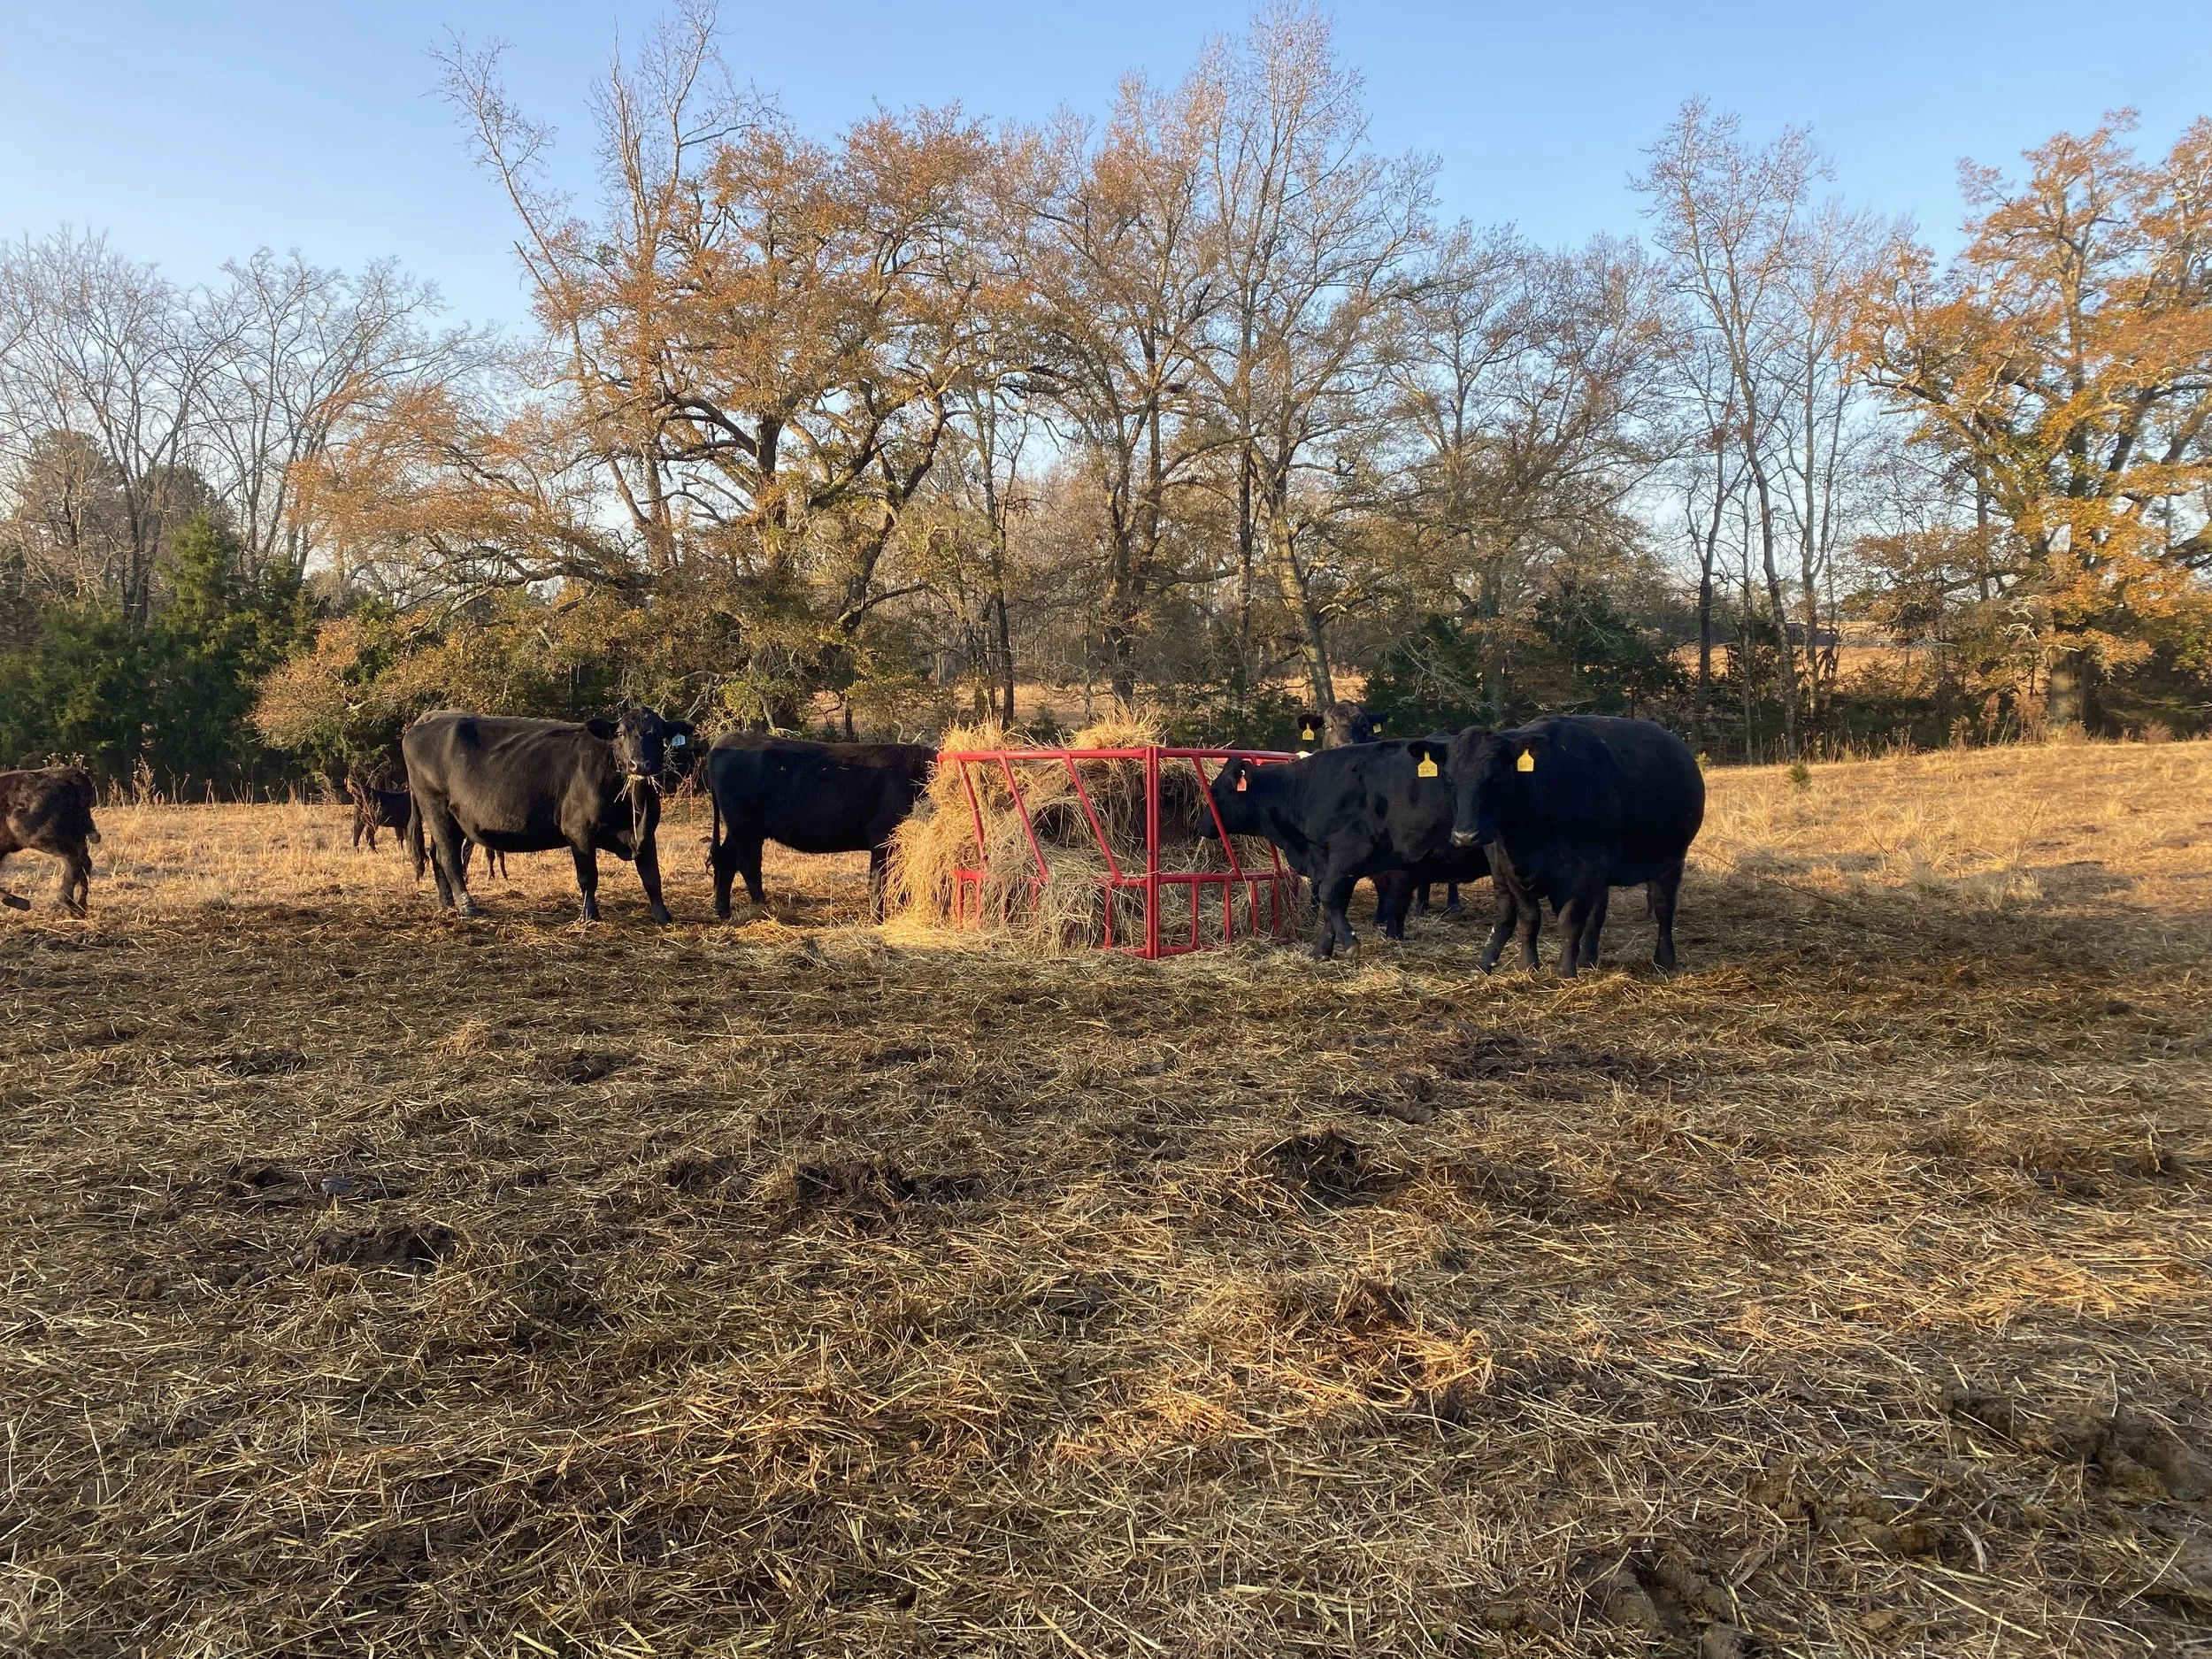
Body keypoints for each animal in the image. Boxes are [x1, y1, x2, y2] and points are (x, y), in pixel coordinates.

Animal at [0, 765, 100, 916]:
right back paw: (80, 909)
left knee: (74, 860)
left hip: (45, 838)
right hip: (76, 836)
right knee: (84, 863)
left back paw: (67, 903)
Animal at [401, 710, 689, 924]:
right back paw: (468, 907)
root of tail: (428, 720)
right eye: (620, 734)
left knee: (437, 855)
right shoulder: (579, 832)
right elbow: (588, 876)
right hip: (436, 806)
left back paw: (447, 904)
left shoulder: (646, 833)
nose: (640, 764)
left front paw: (664, 917)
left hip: (448, 817)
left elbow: (652, 877)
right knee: (449, 857)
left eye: (659, 734)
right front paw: (589, 916)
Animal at [703, 733, 935, 922]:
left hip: (740, 828)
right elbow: (880, 880)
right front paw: (878, 920)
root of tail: (723, 741)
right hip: (745, 826)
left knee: (726, 860)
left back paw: (724, 913)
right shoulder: (882, 834)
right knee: (748, 865)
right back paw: (763, 909)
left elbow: (901, 876)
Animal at [1204, 742, 1492, 960]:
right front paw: (1322, 951)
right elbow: (1333, 902)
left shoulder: (1351, 854)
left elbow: (1332, 896)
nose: (1199, 825)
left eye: (1215, 791)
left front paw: (1350, 943)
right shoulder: (1333, 864)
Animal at [1421, 715, 1704, 978]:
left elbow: (1570, 921)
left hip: (1670, 859)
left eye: (1496, 776)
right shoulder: (1508, 867)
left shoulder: (1586, 868)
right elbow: (1529, 918)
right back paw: (1588, 959)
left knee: (1663, 908)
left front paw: (1565, 971)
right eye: (1450, 779)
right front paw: (1528, 965)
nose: (1465, 836)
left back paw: (1664, 960)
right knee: (1598, 912)